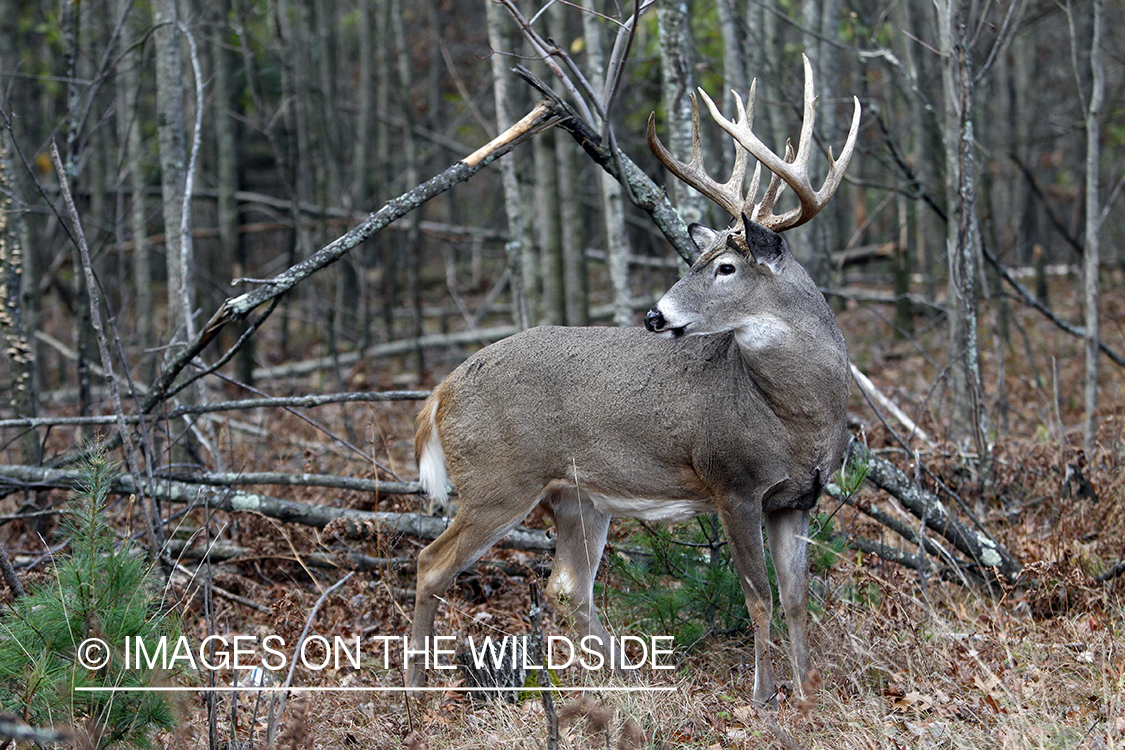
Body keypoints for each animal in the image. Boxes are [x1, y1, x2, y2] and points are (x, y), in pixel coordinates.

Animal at [409, 55, 855, 706]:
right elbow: (759, 597)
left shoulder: (797, 498)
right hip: (497, 482)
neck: (794, 415)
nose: (655, 316)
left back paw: (627, 679)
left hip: (576, 496)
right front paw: (763, 699)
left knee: (566, 586)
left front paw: (807, 694)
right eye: (697, 262)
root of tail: (441, 390)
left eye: (725, 267)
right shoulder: (732, 482)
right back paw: (413, 690)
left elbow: (796, 598)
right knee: (431, 563)